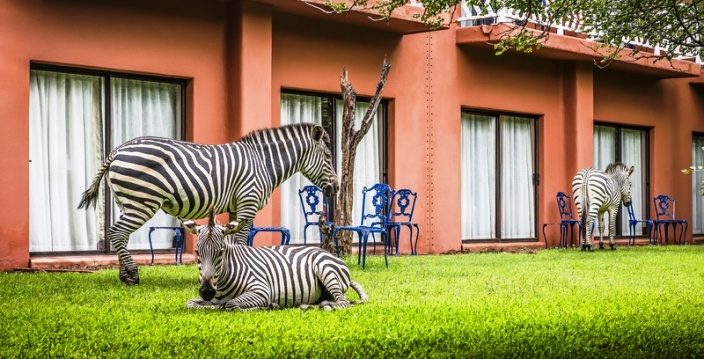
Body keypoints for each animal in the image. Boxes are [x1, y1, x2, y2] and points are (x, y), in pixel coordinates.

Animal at [78, 124, 340, 286]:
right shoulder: (248, 202)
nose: (337, 188)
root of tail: (117, 150)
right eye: (328, 156)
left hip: (127, 202)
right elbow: (242, 240)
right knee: (117, 233)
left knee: (118, 234)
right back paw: (132, 275)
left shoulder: (236, 207)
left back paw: (124, 274)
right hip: (142, 202)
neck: (263, 163)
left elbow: (232, 242)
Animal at [182, 205, 368, 312]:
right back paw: (309, 305)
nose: (207, 292)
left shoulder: (261, 290)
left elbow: (231, 305)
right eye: (197, 252)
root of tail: (329, 254)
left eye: (220, 252)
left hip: (325, 269)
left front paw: (266, 306)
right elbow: (191, 303)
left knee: (343, 302)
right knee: (329, 301)